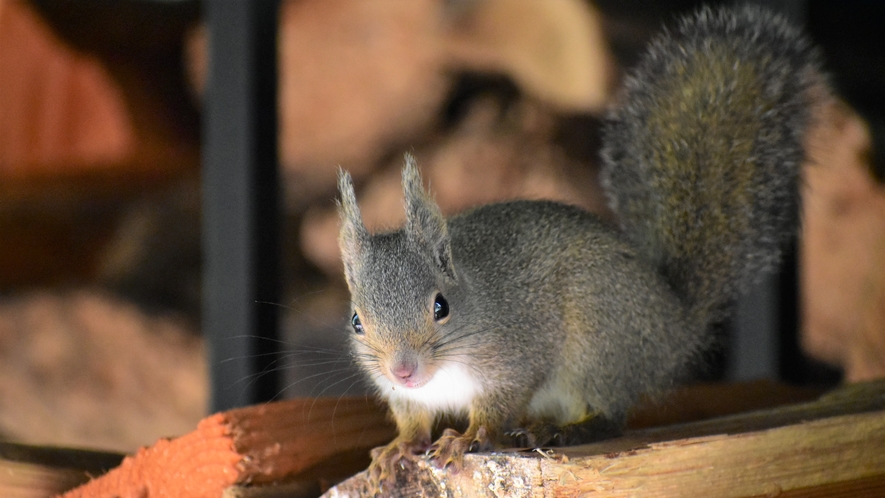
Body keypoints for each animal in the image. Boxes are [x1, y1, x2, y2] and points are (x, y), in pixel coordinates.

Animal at [334, 3, 824, 492]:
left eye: (441, 306)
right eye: (357, 321)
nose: (403, 371)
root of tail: (673, 327)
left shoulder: (515, 356)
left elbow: (497, 408)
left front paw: (468, 437)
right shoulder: (407, 397)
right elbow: (413, 422)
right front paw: (398, 447)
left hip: (596, 339)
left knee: (609, 416)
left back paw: (562, 430)